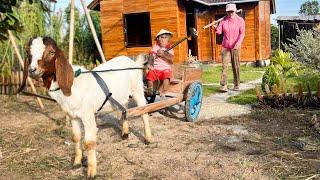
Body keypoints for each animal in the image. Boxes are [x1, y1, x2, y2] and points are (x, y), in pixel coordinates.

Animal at [20, 37, 152, 179]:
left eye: (51, 52)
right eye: (28, 52)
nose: (32, 70)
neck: (73, 85)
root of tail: (132, 62)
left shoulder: (88, 116)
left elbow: (89, 143)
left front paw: (91, 172)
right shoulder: (73, 116)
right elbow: (76, 137)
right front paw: (77, 162)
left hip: (138, 90)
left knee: (144, 112)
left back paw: (148, 139)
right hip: (121, 96)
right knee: (124, 109)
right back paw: (125, 133)